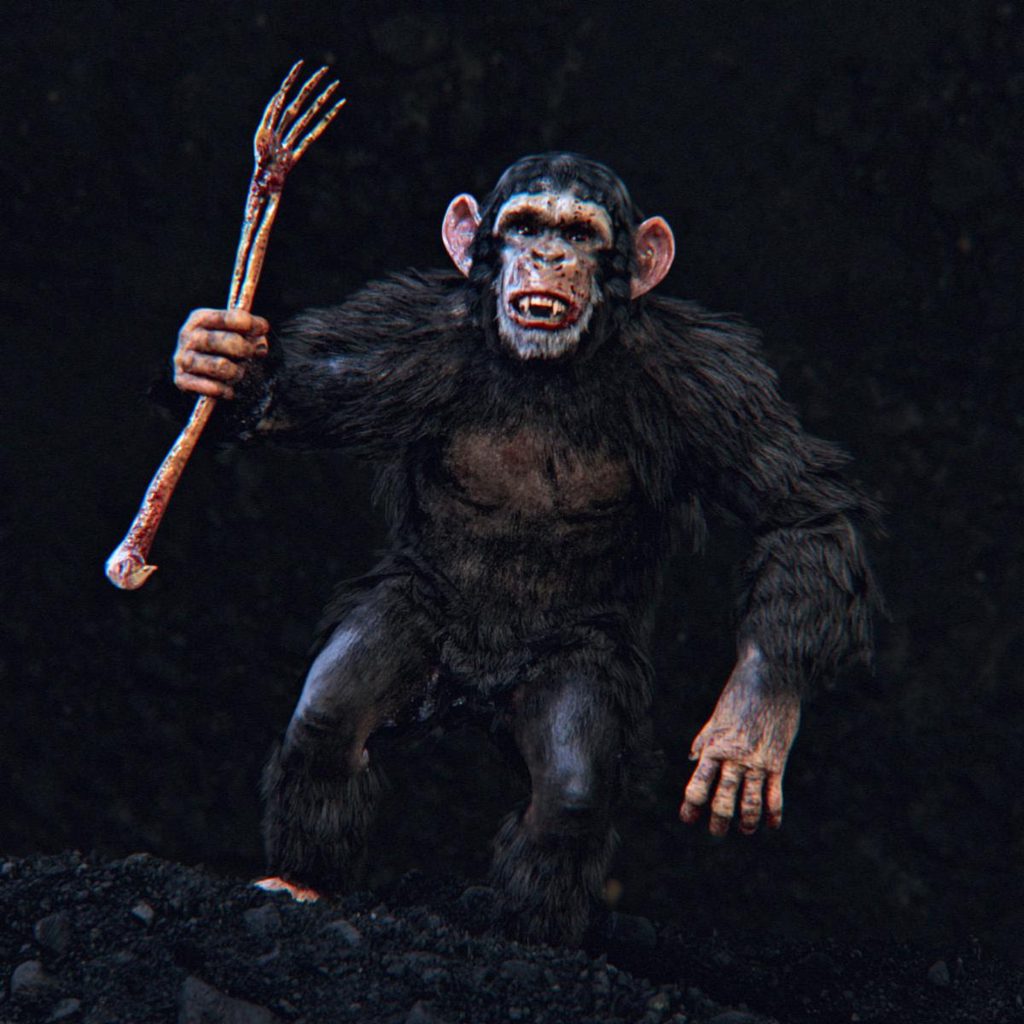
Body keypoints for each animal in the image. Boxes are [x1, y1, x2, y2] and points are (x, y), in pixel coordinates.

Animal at [171, 152, 879, 944]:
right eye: (525, 225)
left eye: (579, 233)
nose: (547, 257)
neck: (544, 372)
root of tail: (474, 692)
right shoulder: (400, 337)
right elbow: (311, 398)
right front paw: (224, 362)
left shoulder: (709, 382)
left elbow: (798, 512)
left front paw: (751, 725)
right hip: (417, 612)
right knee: (331, 720)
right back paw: (300, 883)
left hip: (577, 660)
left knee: (569, 794)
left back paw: (526, 935)